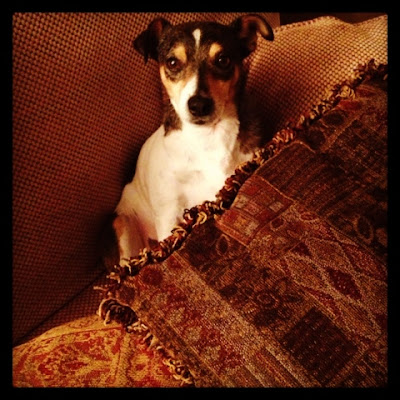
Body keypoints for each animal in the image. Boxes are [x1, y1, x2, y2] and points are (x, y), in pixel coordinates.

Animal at [103, 14, 274, 270]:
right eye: (173, 62)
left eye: (223, 59)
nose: (199, 105)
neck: (207, 138)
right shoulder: (170, 213)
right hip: (121, 224)